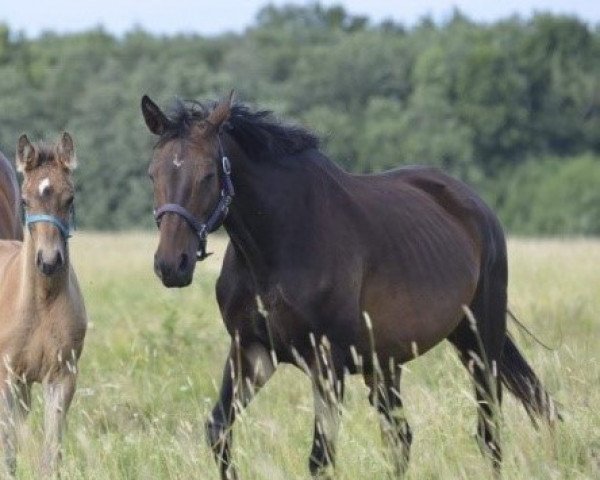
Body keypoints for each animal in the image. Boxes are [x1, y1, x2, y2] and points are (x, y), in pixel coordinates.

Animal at [141, 94, 556, 480]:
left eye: (208, 174)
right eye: (153, 174)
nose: (172, 265)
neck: (276, 247)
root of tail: (476, 207)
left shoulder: (327, 362)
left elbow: (320, 459)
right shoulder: (251, 350)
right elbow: (219, 430)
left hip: (479, 341)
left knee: (489, 431)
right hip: (387, 364)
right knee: (402, 438)